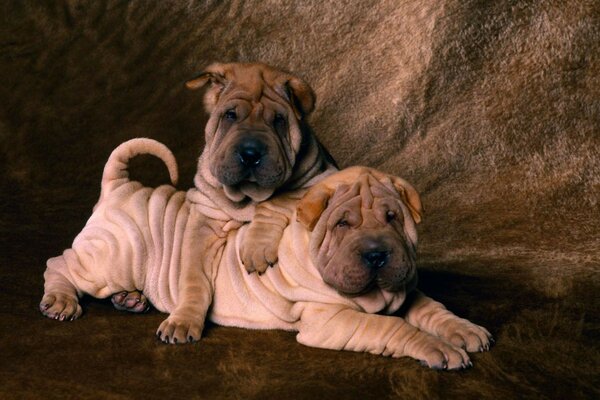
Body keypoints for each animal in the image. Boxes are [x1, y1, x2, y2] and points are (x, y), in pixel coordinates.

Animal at [39, 62, 336, 344]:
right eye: (230, 116)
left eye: (278, 121)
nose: (250, 153)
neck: (246, 198)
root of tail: (119, 184)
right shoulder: (201, 227)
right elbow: (195, 281)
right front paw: (183, 321)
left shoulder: (321, 177)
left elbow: (281, 199)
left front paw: (256, 246)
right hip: (109, 253)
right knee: (59, 263)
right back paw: (61, 300)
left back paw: (128, 298)